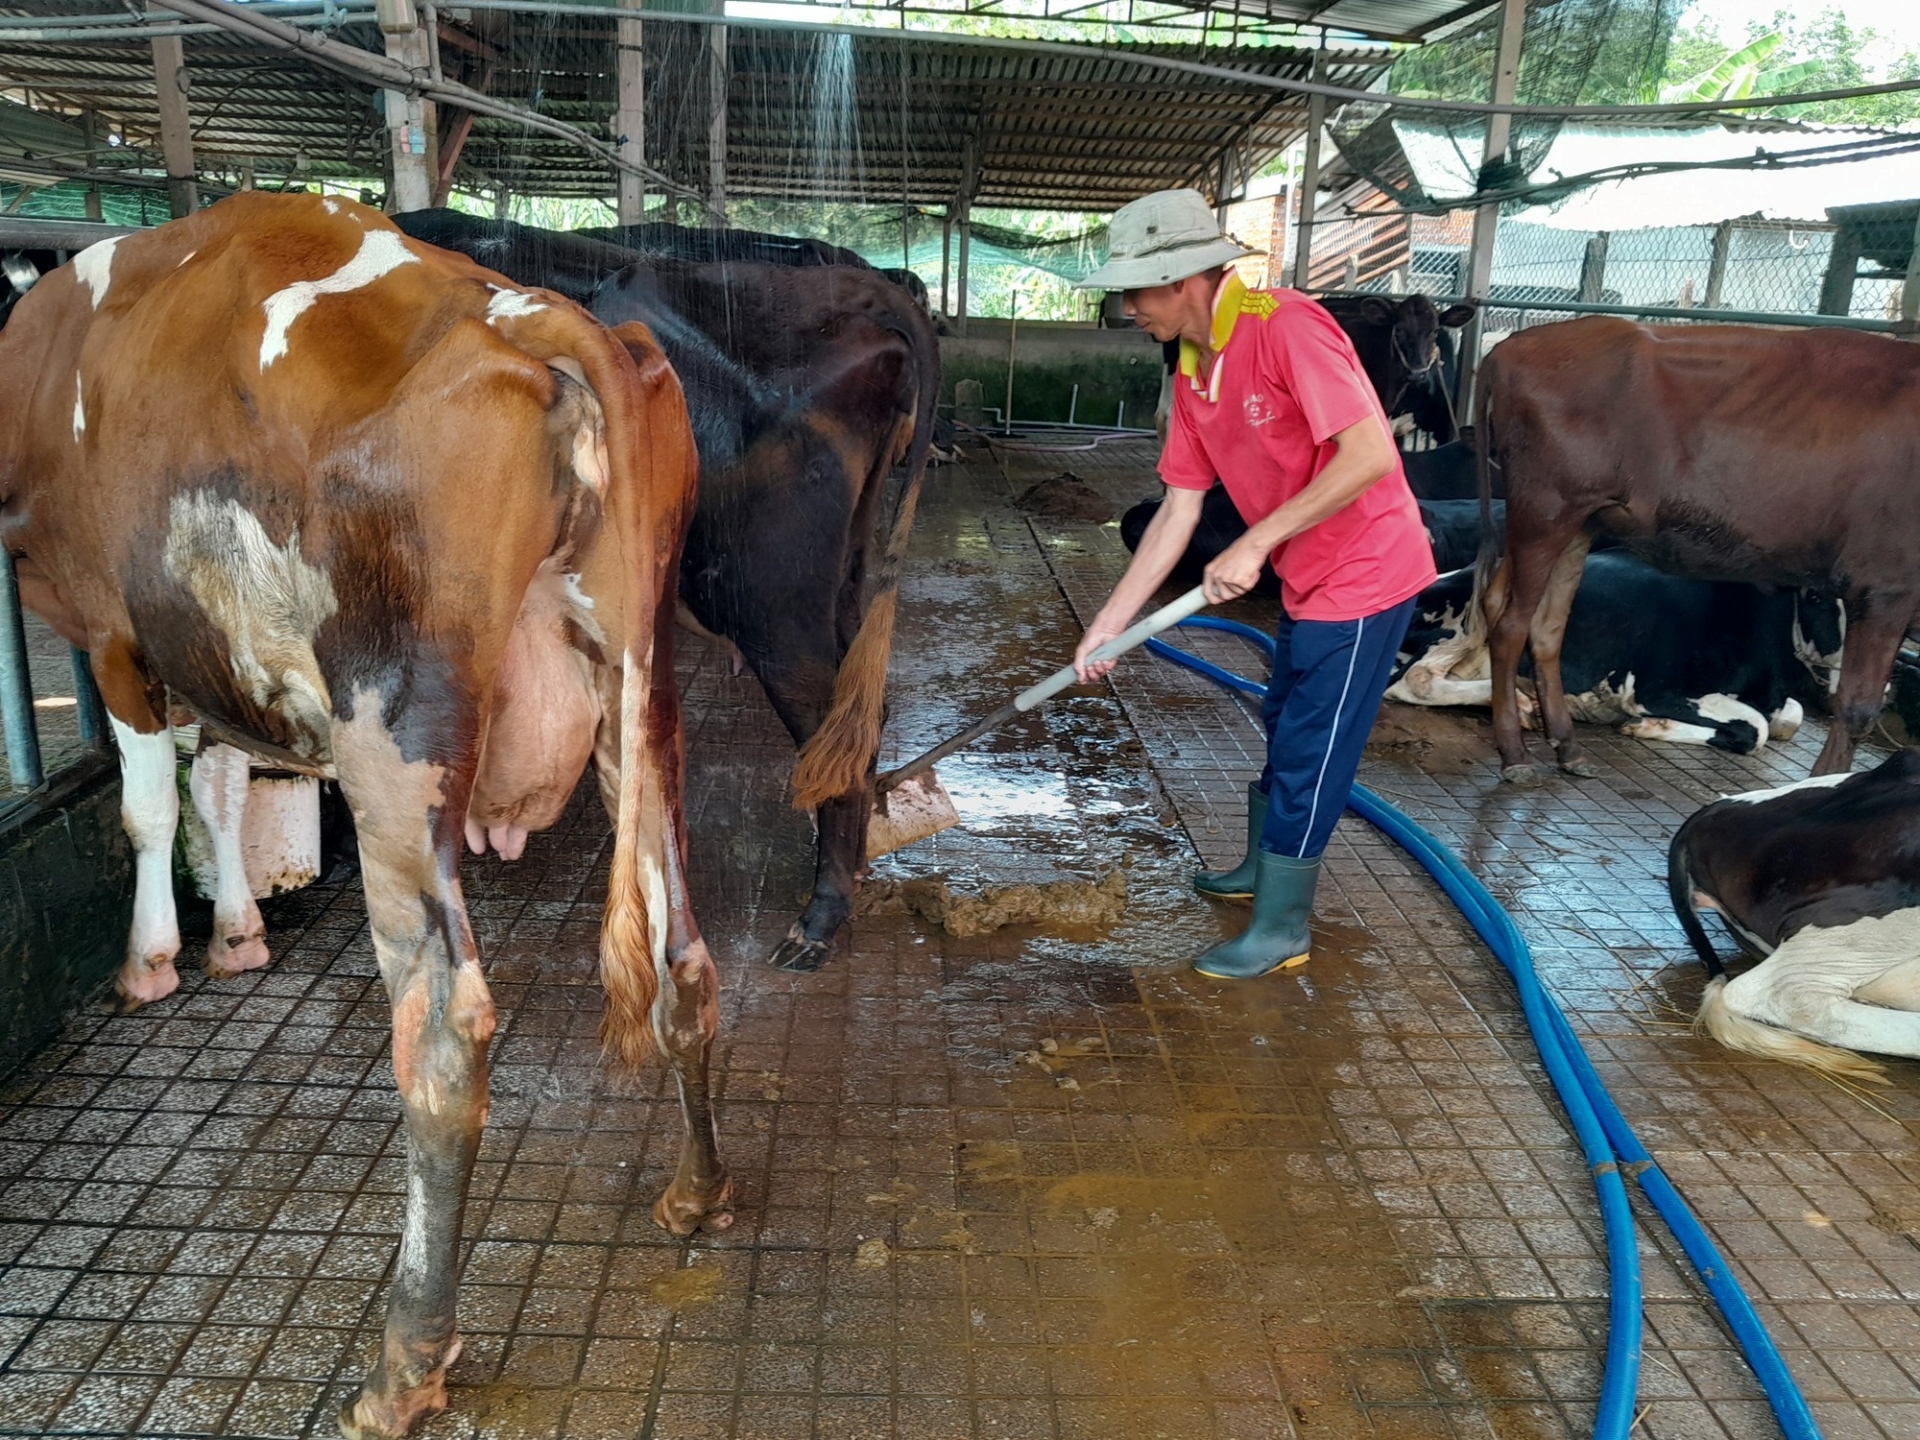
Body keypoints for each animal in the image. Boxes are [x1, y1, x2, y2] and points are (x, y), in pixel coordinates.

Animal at [0, 193, 724, 1439]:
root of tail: (538, 318)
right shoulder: (218, 658)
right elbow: (216, 787)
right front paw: (237, 935)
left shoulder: (113, 631)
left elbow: (146, 807)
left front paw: (153, 960)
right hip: (640, 702)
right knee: (683, 949)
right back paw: (699, 1192)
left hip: (394, 729)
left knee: (441, 1027)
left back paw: (406, 1361)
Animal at [1386, 553, 1841, 756]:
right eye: (1815, 596)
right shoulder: (1654, 688)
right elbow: (1757, 729)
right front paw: (1650, 726)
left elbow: (1790, 718)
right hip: (1470, 613)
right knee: (1416, 680)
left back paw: (1521, 700)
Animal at [1475, 317, 1920, 784]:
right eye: (1814, 598)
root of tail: (1511, 346)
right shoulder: (1887, 586)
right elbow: (1856, 708)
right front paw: (1826, 783)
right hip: (1545, 511)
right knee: (1511, 625)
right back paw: (1515, 754)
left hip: (1576, 522)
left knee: (1541, 624)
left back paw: (1568, 747)